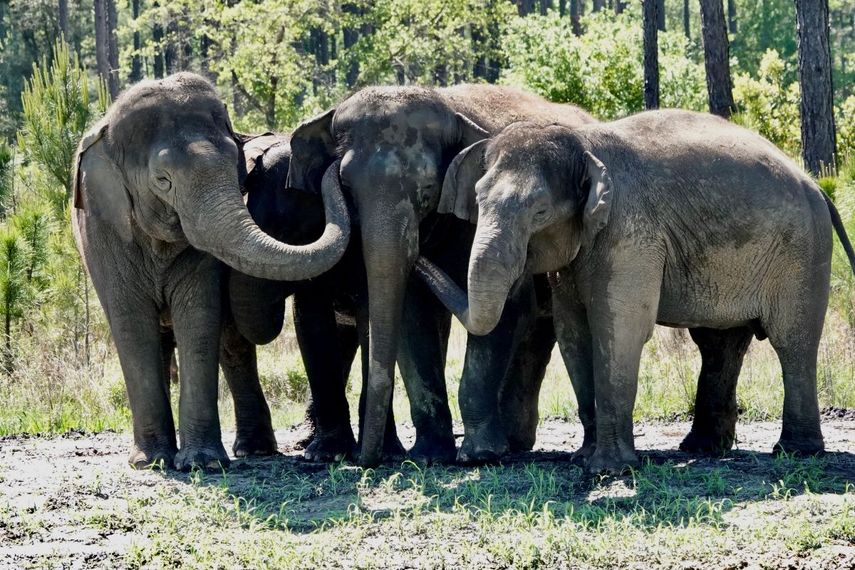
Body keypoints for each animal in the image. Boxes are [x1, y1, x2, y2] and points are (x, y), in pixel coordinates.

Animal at [71, 73, 351, 470]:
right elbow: (130, 323)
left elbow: (199, 316)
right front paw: (150, 463)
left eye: (237, 166)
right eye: (163, 181)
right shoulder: (103, 230)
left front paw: (201, 463)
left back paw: (250, 450)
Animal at [288, 84, 596, 466]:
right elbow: (410, 316)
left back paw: (510, 442)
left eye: (428, 190)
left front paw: (479, 456)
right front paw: (429, 456)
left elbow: (506, 309)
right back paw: (513, 440)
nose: (367, 461)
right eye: (345, 186)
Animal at [415, 110, 855, 474]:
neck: (582, 143)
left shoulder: (629, 232)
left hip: (801, 256)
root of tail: (817, 188)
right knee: (720, 343)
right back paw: (703, 448)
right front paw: (583, 459)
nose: (418, 256)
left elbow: (618, 328)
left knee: (791, 342)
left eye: (539, 212)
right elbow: (574, 333)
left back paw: (796, 451)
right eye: (477, 200)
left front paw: (609, 470)